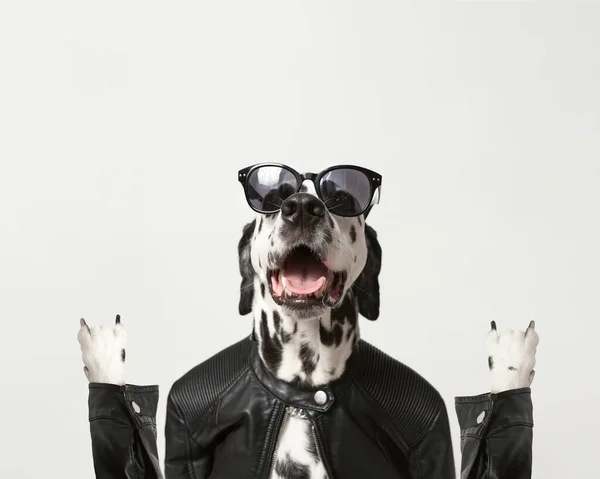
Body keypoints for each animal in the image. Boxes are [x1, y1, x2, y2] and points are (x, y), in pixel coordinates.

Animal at [77, 178, 540, 478]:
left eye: (340, 198)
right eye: (274, 197)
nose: (301, 206)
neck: (302, 392)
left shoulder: (426, 420)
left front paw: (510, 366)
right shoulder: (185, 410)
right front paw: (105, 360)